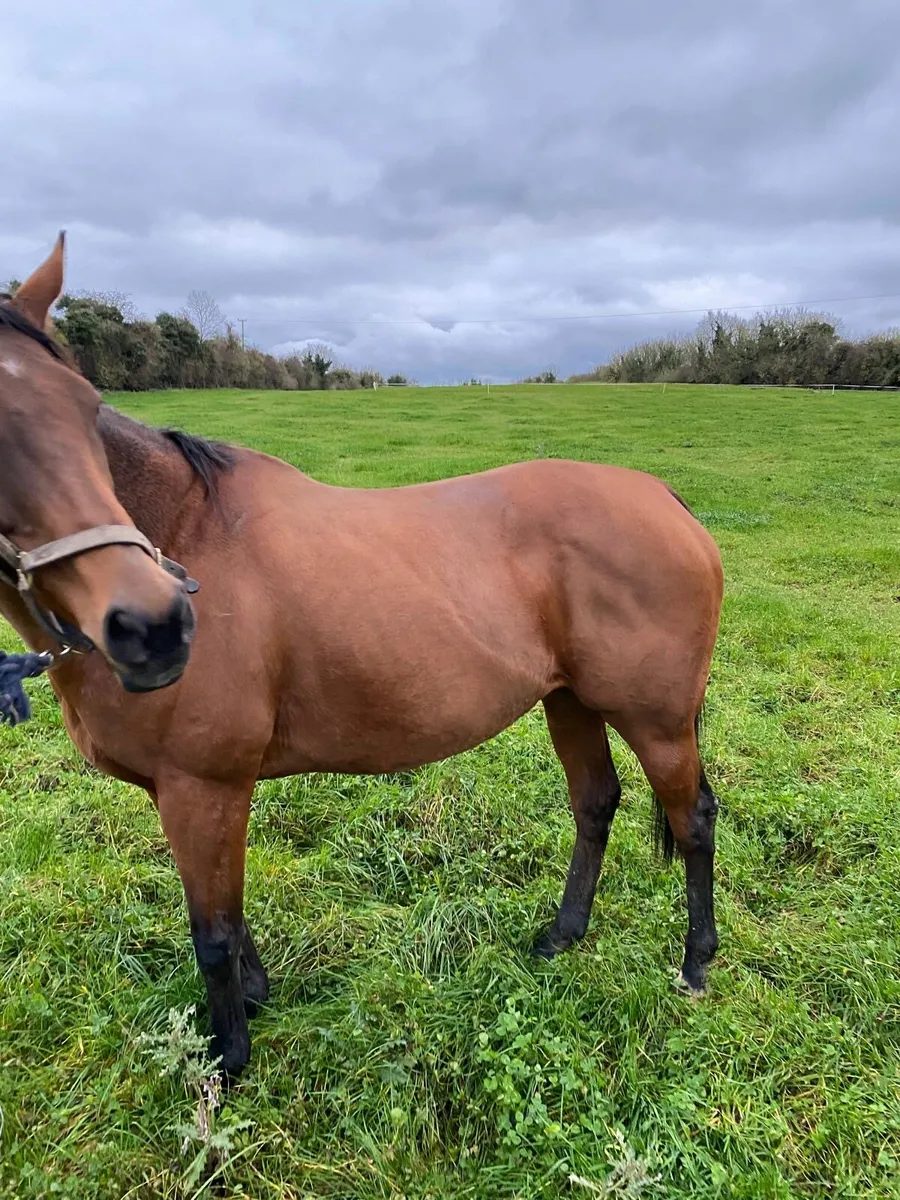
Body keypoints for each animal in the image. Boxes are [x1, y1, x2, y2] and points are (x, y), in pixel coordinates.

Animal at [1, 257, 724, 1081]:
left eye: (86, 407)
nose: (154, 625)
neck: (187, 530)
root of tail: (663, 498)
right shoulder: (189, 794)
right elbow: (229, 919)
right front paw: (255, 996)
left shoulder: (202, 786)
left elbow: (211, 932)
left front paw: (228, 1057)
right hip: (569, 700)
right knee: (596, 803)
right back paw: (561, 935)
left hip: (657, 720)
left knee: (693, 820)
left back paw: (695, 963)